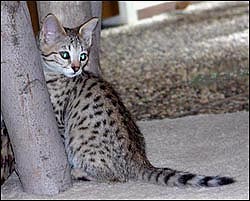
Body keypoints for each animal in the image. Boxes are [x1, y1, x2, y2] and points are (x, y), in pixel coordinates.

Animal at [37, 13, 234, 187]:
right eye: (65, 55)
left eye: (83, 56)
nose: (76, 68)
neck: (53, 76)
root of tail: (139, 158)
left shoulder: (60, 121)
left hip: (81, 142)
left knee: (114, 176)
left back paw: (78, 172)